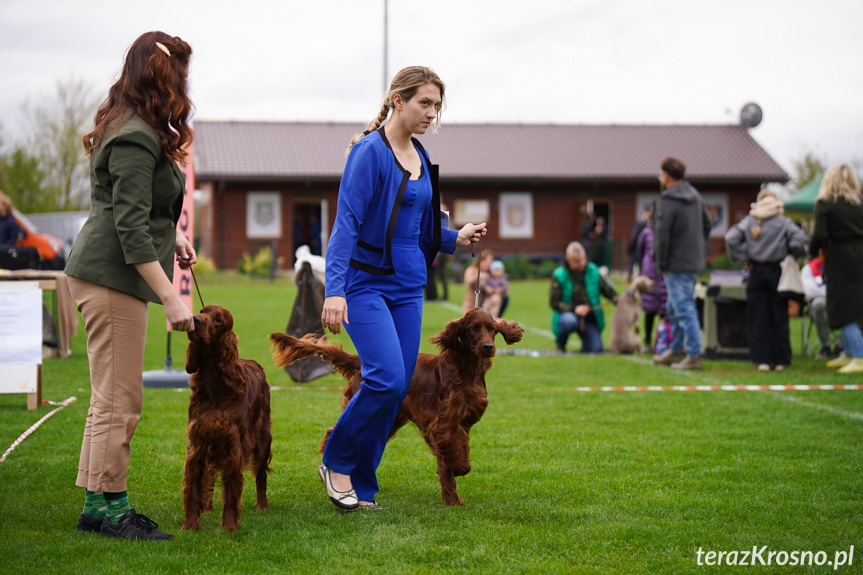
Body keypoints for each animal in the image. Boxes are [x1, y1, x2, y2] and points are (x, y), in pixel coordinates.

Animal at [183, 304, 274, 532]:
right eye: (202, 311)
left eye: (219, 320)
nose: (195, 319)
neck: (215, 387)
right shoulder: (198, 442)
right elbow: (193, 489)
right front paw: (190, 525)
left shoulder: (234, 446)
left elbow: (232, 491)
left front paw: (229, 527)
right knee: (210, 474)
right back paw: (207, 506)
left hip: (262, 439)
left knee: (261, 474)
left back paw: (262, 505)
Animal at [274, 308, 524, 506]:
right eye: (473, 328)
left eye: (492, 329)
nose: (488, 347)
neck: (467, 370)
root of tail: (362, 362)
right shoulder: (442, 425)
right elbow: (450, 462)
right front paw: (452, 498)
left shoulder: (462, 423)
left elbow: (463, 458)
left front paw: (452, 490)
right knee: (334, 431)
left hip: (391, 417)